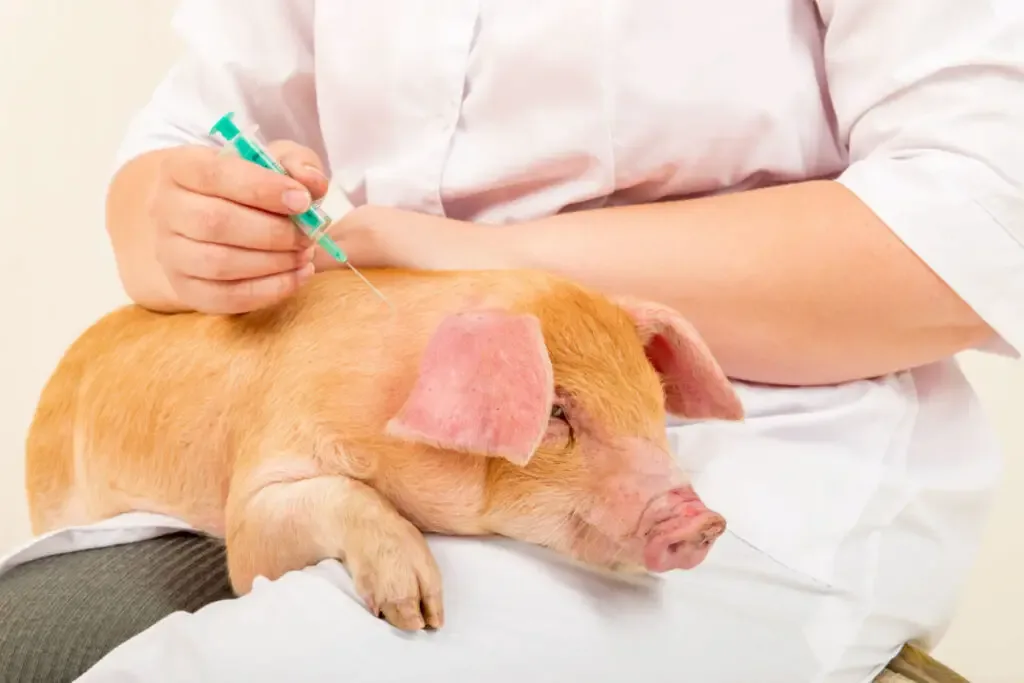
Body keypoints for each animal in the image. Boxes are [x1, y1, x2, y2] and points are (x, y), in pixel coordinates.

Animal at [24, 270, 745, 634]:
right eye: (556, 412)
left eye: (654, 401)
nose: (705, 520)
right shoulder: (255, 488)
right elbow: (266, 538)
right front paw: (419, 614)